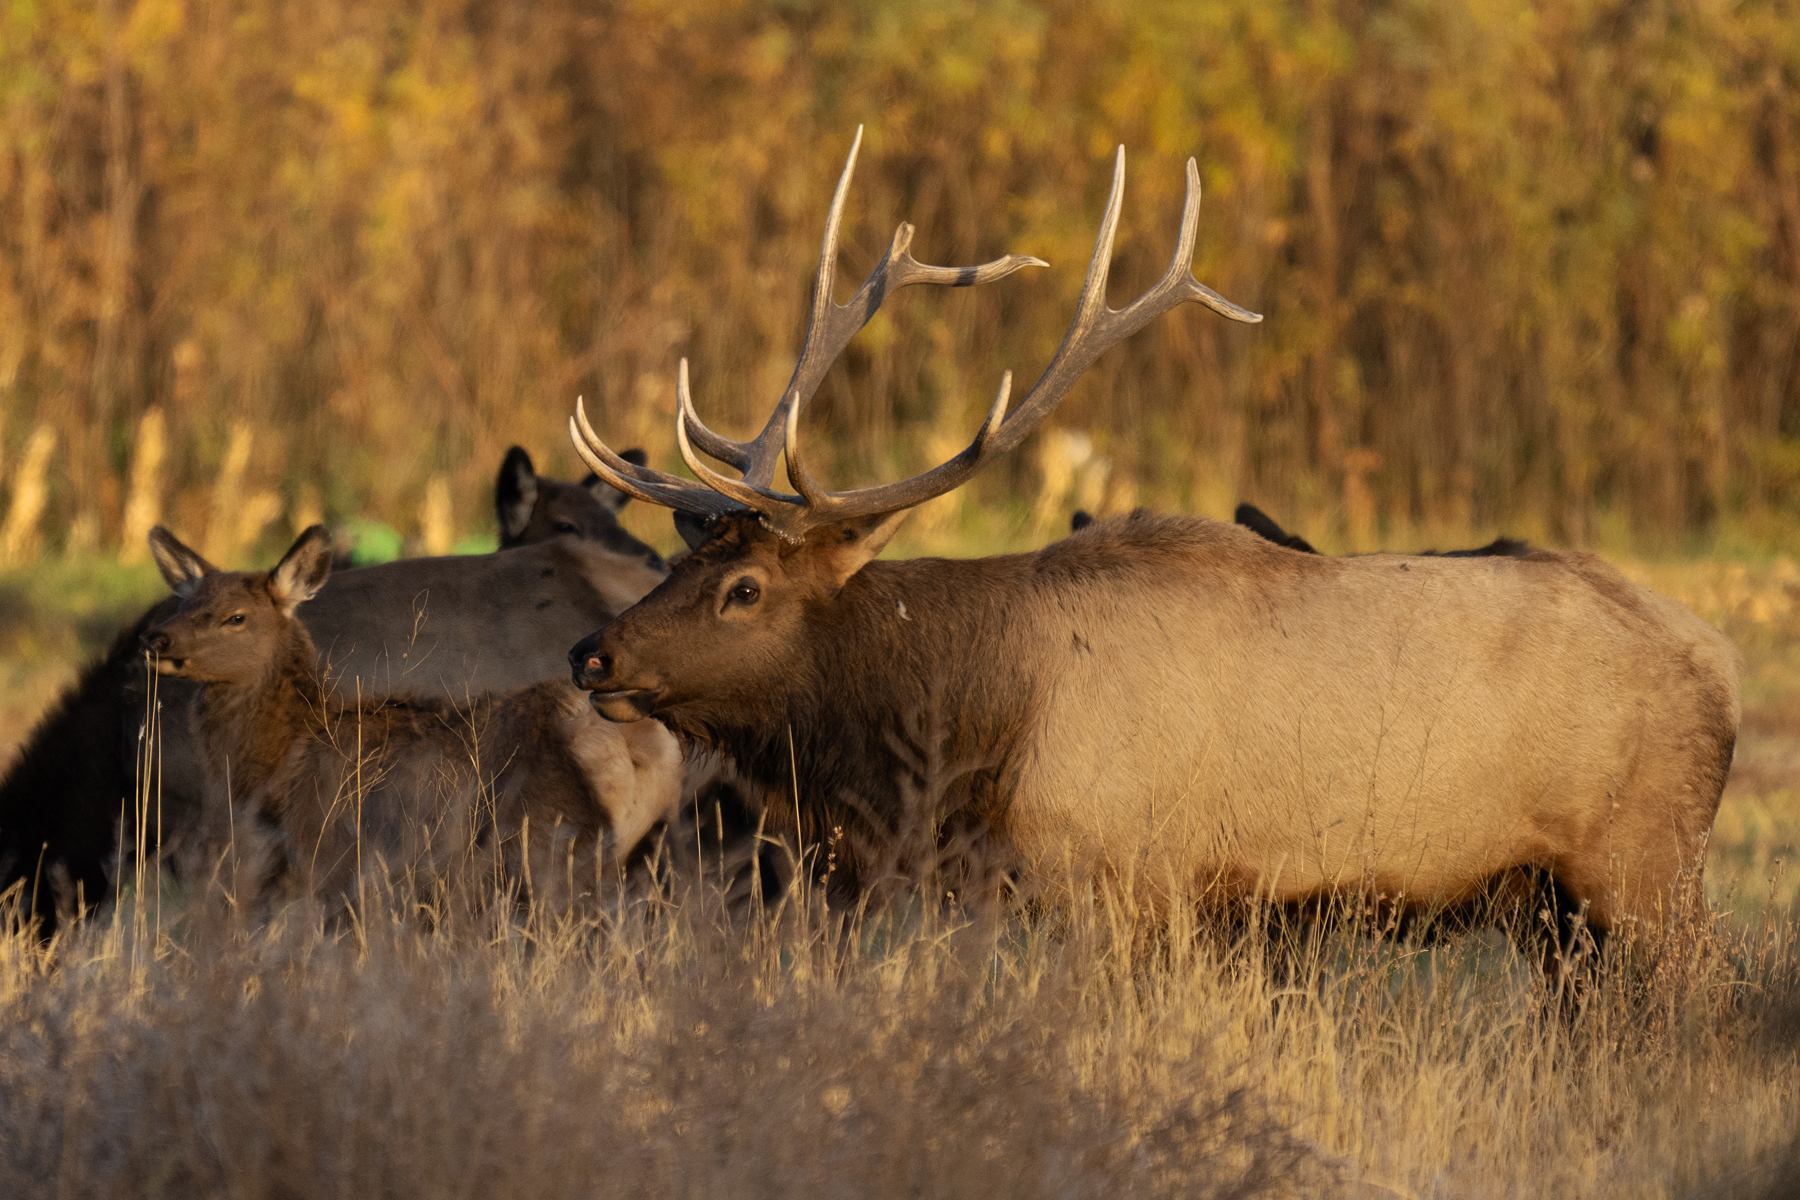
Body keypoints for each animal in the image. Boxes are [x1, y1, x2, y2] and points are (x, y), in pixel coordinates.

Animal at [138, 525, 687, 921]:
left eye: (236, 616)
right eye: (186, 603)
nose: (156, 639)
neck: (282, 753)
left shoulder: (331, 850)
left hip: (556, 842)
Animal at [565, 129, 1742, 964]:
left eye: (746, 588)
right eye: (683, 562)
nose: (593, 655)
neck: (977, 732)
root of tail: (1724, 665)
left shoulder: (1122, 877)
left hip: (1648, 864)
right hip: (1554, 910)